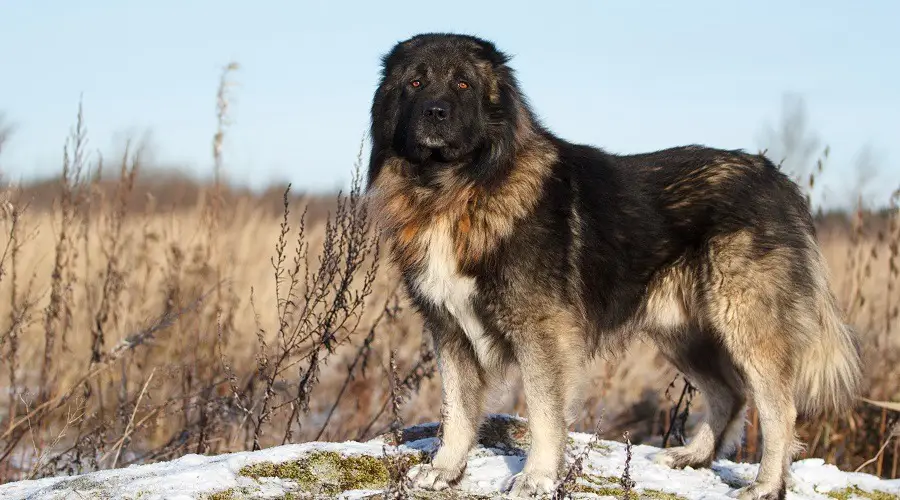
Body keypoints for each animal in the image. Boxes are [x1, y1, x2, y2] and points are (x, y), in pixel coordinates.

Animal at [362, 33, 860, 498]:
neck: (454, 189)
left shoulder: (542, 333)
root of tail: (778, 178)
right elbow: (458, 411)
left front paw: (536, 478)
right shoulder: (449, 330)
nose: (436, 112)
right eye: (415, 83)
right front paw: (445, 471)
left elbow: (543, 411)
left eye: (463, 83)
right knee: (730, 393)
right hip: (683, 332)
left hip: (744, 322)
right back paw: (694, 457)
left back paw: (766, 484)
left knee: (778, 406)